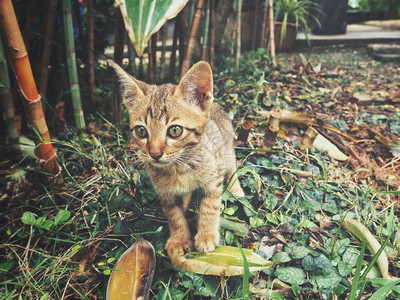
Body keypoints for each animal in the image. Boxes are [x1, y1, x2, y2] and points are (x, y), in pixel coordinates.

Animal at [112, 61, 244, 258]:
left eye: (175, 130)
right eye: (141, 131)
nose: (154, 153)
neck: (178, 167)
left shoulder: (213, 178)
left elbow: (210, 206)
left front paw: (206, 235)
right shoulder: (165, 193)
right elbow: (175, 216)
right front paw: (180, 239)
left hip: (226, 152)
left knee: (232, 166)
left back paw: (236, 188)